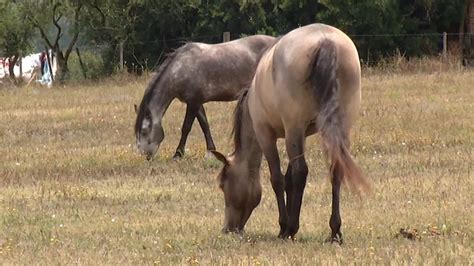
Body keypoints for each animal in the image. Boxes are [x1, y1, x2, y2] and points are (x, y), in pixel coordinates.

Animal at [133, 35, 276, 160]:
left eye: (144, 131)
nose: (145, 156)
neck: (180, 69)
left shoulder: (193, 103)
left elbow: (186, 128)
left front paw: (178, 154)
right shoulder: (196, 102)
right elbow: (205, 125)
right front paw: (211, 152)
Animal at [211, 23, 370, 242]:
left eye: (222, 184)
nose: (228, 229)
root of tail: (326, 41)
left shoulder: (268, 135)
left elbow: (278, 179)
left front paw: (283, 226)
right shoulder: (299, 135)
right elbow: (289, 179)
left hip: (294, 128)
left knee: (302, 171)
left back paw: (291, 228)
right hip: (339, 128)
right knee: (336, 170)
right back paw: (334, 231)